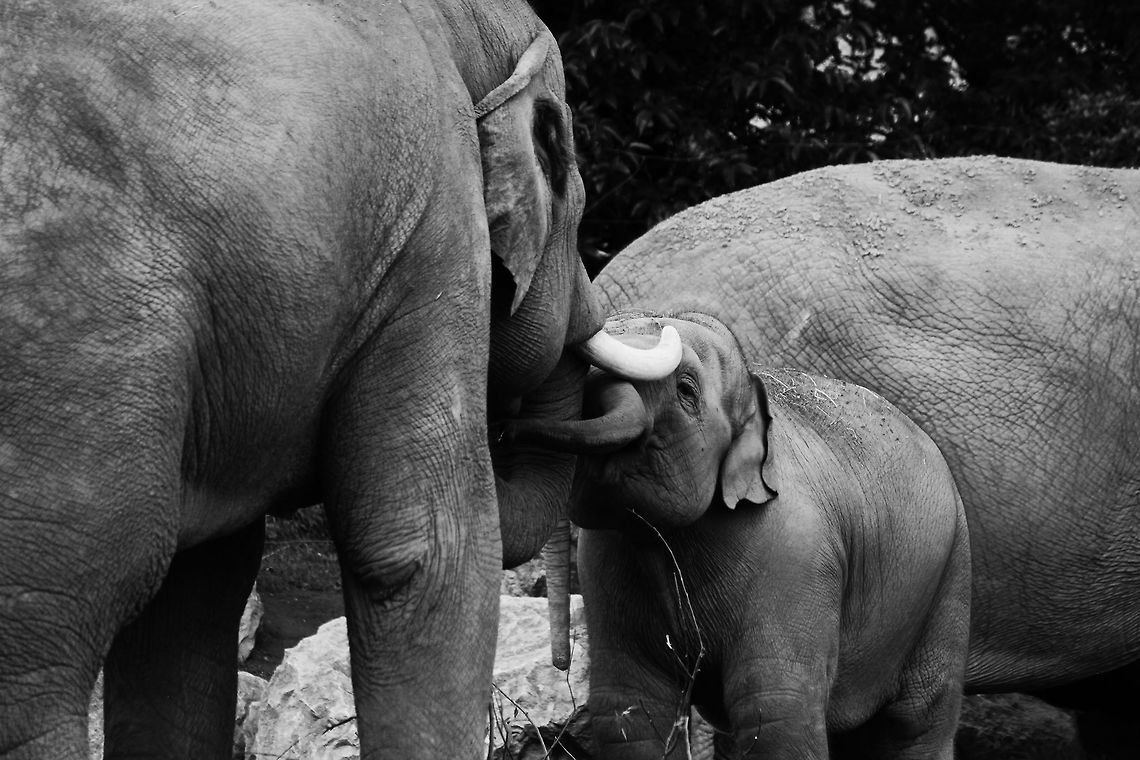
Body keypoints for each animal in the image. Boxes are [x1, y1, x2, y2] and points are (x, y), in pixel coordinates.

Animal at [510, 313, 972, 759]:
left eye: (686, 389)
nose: (508, 430)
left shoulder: (795, 558)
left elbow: (775, 708)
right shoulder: (602, 562)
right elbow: (630, 710)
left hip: (951, 575)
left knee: (916, 721)